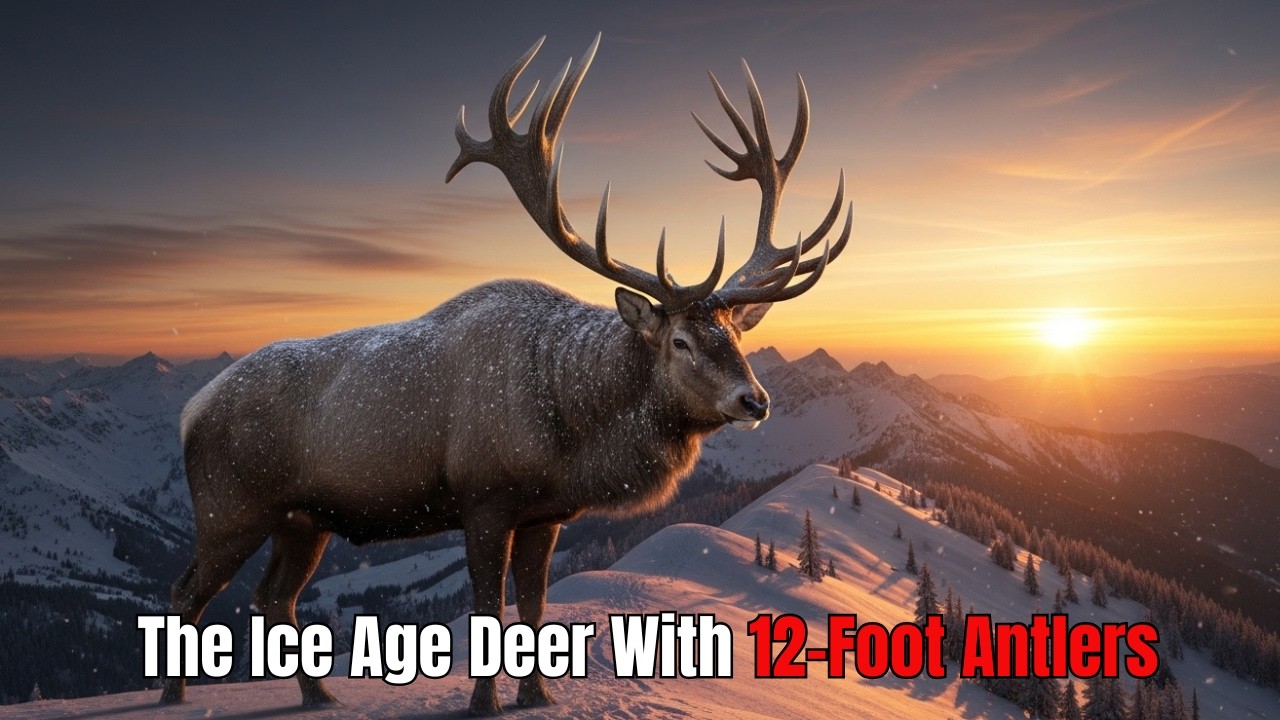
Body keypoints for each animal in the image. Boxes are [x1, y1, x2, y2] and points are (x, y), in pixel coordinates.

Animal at [163, 34, 851, 715]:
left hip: (303, 519)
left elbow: (536, 608)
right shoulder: (484, 498)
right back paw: (174, 695)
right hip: (229, 507)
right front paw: (485, 703)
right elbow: (490, 609)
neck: (572, 436)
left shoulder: (545, 513)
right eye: (680, 341)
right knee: (188, 588)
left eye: (737, 334)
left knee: (273, 595)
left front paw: (538, 694)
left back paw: (319, 695)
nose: (754, 400)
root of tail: (191, 410)